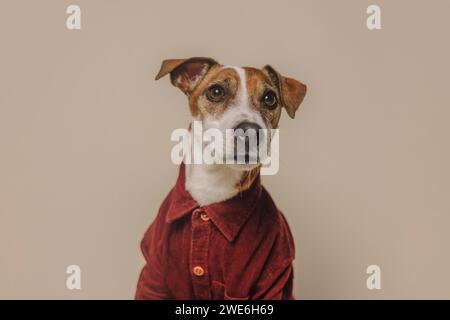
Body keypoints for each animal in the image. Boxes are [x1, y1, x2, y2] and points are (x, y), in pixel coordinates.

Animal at [135, 57, 308, 300]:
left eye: (270, 98)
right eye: (216, 91)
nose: (250, 131)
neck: (214, 182)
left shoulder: (272, 280)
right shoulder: (154, 276)